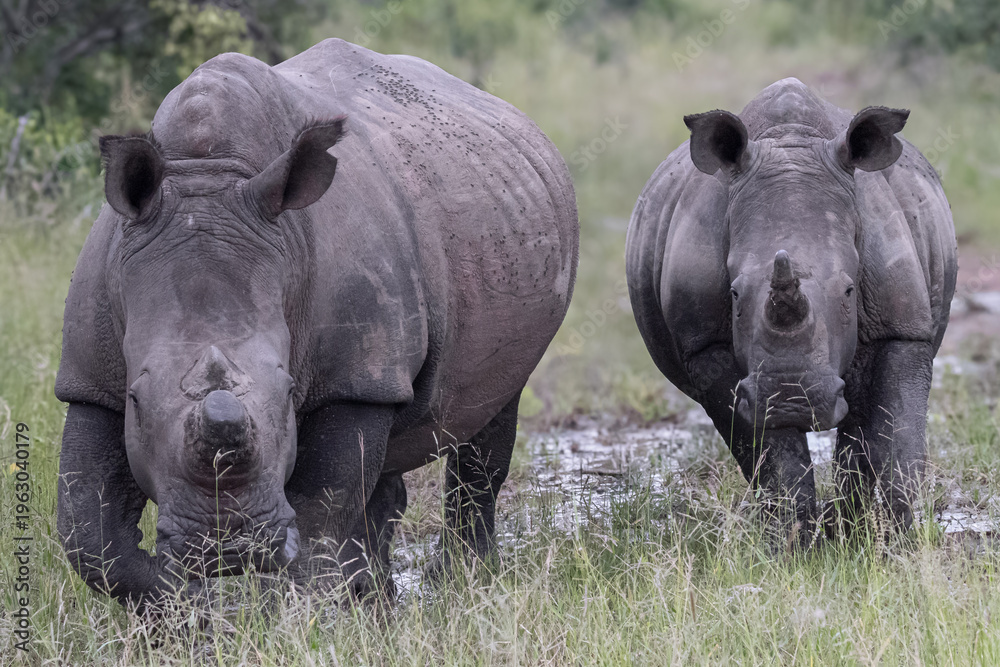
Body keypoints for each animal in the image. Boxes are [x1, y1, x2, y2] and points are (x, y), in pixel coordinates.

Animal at [56, 39, 578, 608]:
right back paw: (376, 596)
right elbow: (88, 531)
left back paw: (461, 583)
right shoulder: (91, 377)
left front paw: (298, 612)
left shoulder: (351, 375)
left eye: (289, 392)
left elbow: (323, 507)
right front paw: (188, 605)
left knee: (492, 414)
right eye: (136, 401)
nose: (228, 551)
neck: (208, 172)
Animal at [626, 78, 956, 534]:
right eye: (734, 294)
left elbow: (898, 436)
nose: (791, 400)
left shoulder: (903, 329)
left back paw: (852, 530)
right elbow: (769, 452)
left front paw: (900, 541)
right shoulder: (705, 344)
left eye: (849, 291)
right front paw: (793, 541)